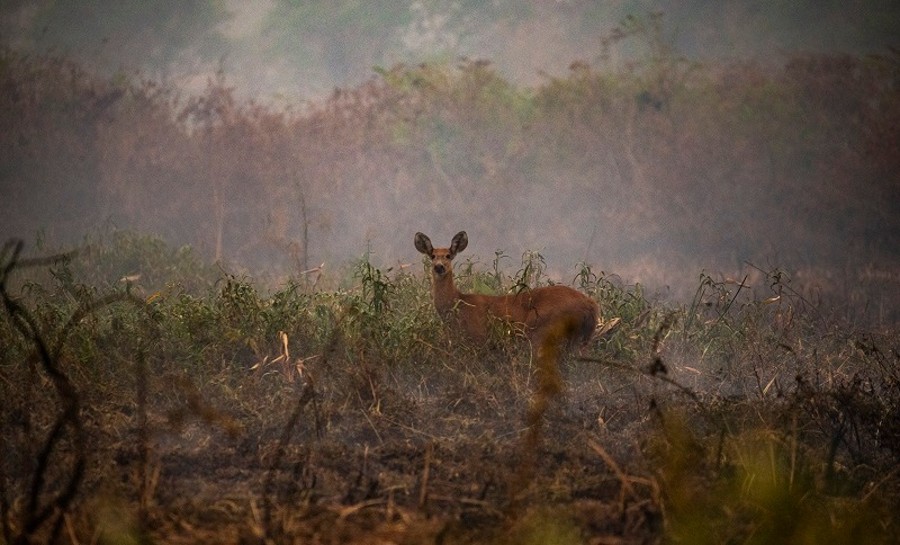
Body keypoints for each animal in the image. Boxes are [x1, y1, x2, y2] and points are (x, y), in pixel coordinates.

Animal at [414, 230, 596, 366]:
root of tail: (591, 305)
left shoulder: (479, 338)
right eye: (432, 255)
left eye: (448, 255)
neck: (459, 305)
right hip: (581, 339)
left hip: (543, 330)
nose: (439, 267)